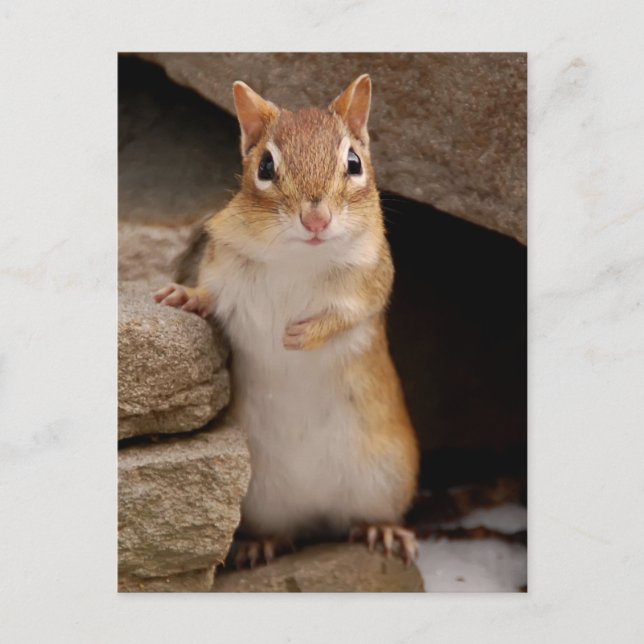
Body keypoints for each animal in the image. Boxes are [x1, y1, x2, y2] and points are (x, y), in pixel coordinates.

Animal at [154, 75, 419, 565]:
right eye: (265, 166)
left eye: (353, 162)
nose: (316, 219)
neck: (298, 258)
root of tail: (317, 512)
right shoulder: (223, 268)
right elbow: (210, 294)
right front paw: (183, 295)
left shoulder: (370, 284)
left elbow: (347, 315)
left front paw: (302, 335)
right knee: (283, 529)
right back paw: (261, 544)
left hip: (386, 478)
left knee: (365, 517)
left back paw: (381, 530)